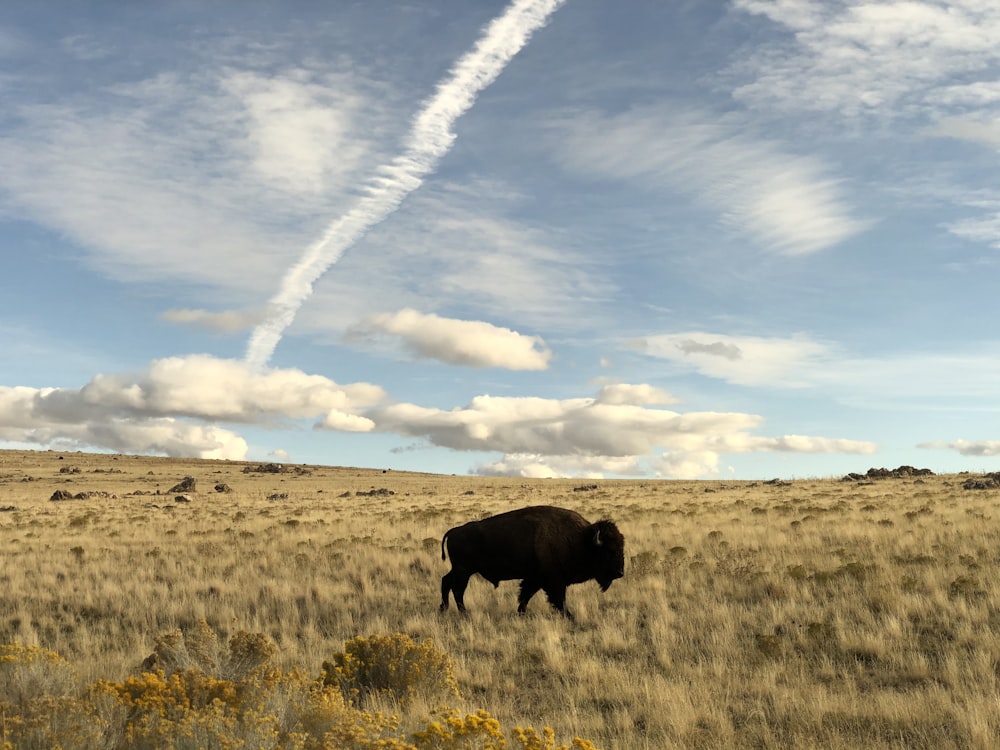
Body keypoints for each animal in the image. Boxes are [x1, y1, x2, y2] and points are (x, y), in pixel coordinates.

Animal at [440, 506, 624, 624]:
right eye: (610, 551)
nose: (620, 573)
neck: (581, 540)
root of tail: (454, 531)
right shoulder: (554, 581)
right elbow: (559, 600)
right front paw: (570, 617)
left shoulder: (535, 579)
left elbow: (526, 595)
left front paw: (521, 613)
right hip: (463, 571)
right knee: (456, 589)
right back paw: (462, 613)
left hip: (460, 570)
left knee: (446, 582)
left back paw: (445, 609)